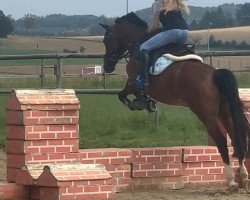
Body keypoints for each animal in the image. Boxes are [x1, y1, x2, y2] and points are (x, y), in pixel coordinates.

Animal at [100, 12, 250, 192]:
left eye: (107, 39)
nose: (107, 66)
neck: (137, 43)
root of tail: (215, 74)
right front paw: (147, 103)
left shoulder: (134, 82)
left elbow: (123, 95)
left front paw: (139, 103)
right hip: (225, 111)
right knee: (235, 136)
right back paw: (243, 175)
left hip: (206, 114)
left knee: (221, 139)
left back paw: (232, 180)